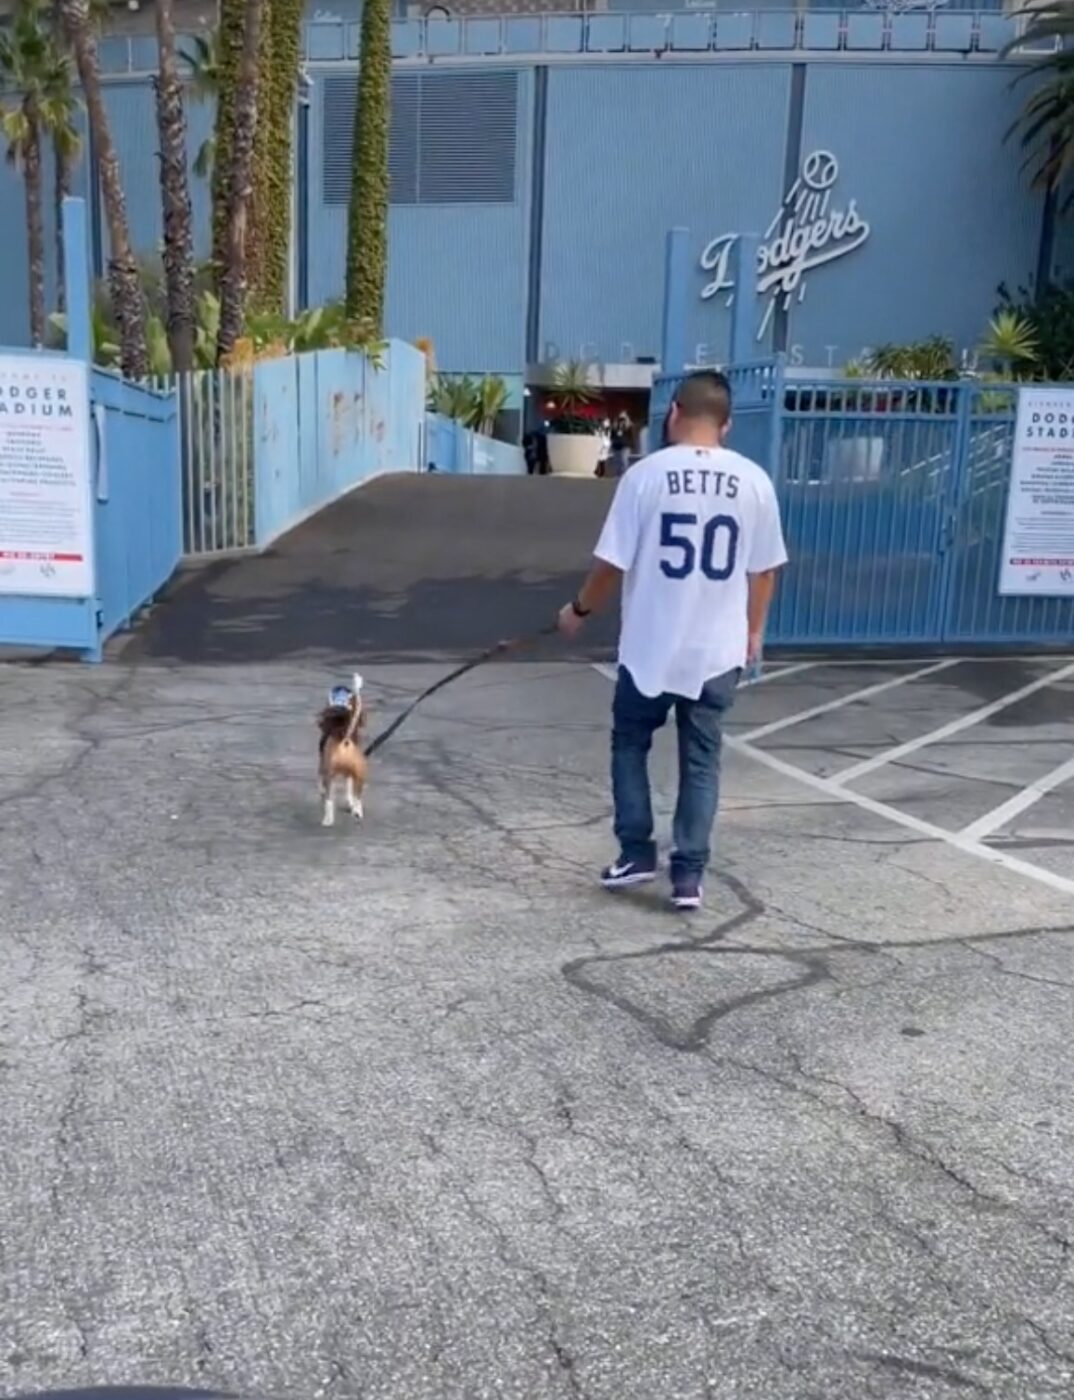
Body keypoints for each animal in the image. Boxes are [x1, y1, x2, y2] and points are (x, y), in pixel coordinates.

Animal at [316, 674, 366, 823]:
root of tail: (345, 741)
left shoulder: (323, 766)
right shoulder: (351, 775)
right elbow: (349, 790)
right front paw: (350, 803)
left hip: (329, 773)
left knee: (329, 800)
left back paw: (328, 820)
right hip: (360, 776)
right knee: (358, 797)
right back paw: (357, 812)